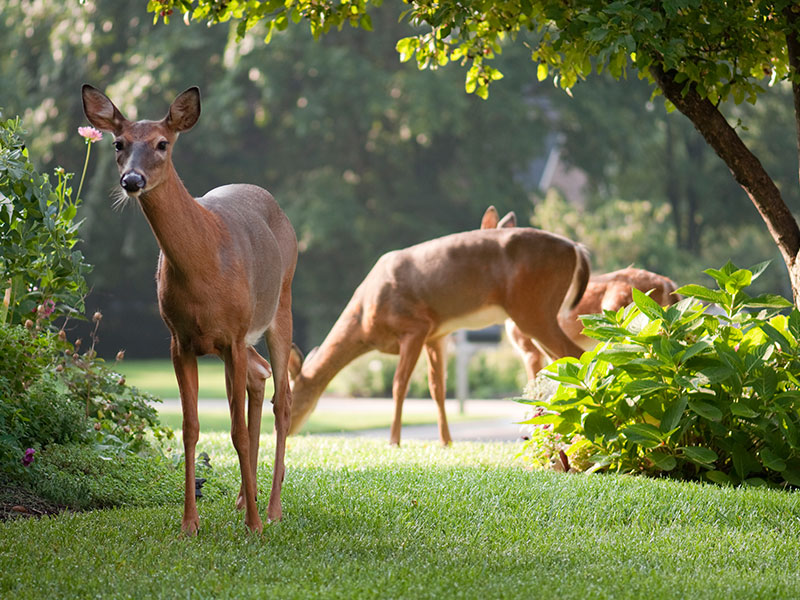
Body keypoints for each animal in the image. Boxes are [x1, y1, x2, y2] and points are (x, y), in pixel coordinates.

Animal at [81, 84, 296, 536]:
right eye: (119, 143)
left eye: (163, 144)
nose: (132, 180)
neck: (204, 267)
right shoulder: (179, 340)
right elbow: (191, 428)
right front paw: (189, 524)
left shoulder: (233, 334)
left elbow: (235, 430)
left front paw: (253, 525)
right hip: (237, 338)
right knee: (260, 375)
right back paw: (243, 497)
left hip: (279, 304)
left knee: (283, 398)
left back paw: (271, 509)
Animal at [288, 223, 588, 442]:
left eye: (289, 397)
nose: (287, 431)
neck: (365, 321)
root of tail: (575, 248)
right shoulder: (436, 335)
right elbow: (438, 389)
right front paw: (446, 441)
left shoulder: (415, 326)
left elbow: (399, 385)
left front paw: (394, 441)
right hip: (537, 312)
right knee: (560, 363)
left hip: (532, 307)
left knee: (576, 355)